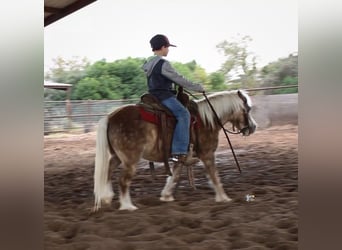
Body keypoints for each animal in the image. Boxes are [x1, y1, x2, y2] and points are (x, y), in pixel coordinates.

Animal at [93, 90, 256, 211]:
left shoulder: (181, 157)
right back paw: (128, 206)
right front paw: (223, 198)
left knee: (107, 171)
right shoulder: (208, 154)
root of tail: (111, 117)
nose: (253, 127)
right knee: (123, 180)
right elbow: (214, 175)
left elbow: (174, 176)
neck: (206, 120)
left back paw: (106, 197)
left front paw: (166, 196)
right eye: (247, 109)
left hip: (118, 157)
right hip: (130, 160)